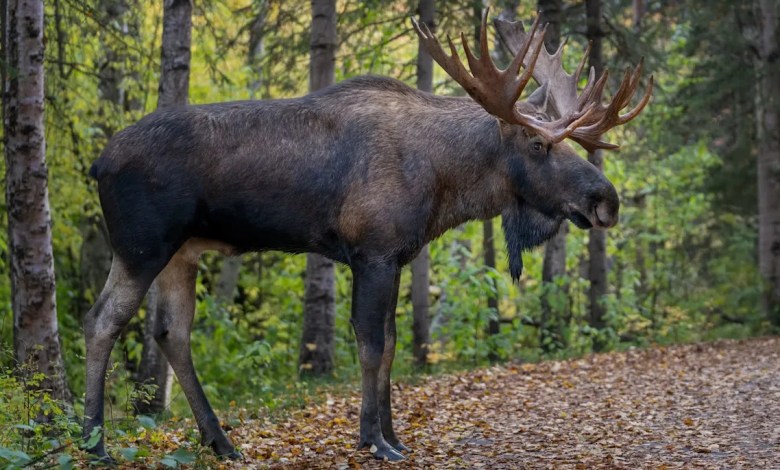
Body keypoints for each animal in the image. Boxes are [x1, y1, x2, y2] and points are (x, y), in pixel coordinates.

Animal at [83, 10, 651, 462]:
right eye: (538, 144)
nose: (607, 199)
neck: (444, 182)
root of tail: (97, 163)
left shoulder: (397, 256)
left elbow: (394, 344)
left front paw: (393, 435)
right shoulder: (371, 251)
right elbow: (371, 344)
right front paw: (374, 440)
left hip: (183, 252)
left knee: (171, 333)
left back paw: (220, 442)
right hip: (142, 245)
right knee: (103, 320)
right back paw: (96, 444)